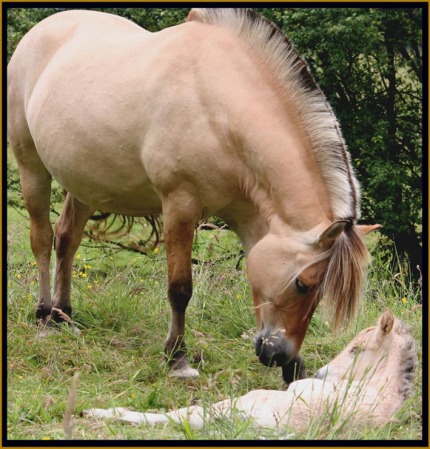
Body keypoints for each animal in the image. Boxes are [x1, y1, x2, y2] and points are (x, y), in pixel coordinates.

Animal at [6, 7, 378, 378]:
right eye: (303, 284)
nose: (278, 354)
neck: (217, 104)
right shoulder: (179, 205)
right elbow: (180, 289)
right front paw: (177, 358)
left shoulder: (249, 217)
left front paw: (297, 370)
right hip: (31, 166)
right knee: (42, 239)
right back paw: (45, 316)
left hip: (85, 182)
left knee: (67, 239)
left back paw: (63, 315)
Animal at [85, 310, 416, 432]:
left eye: (356, 349)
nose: (320, 374)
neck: (381, 395)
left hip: (243, 402)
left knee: (177, 416)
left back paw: (95, 412)